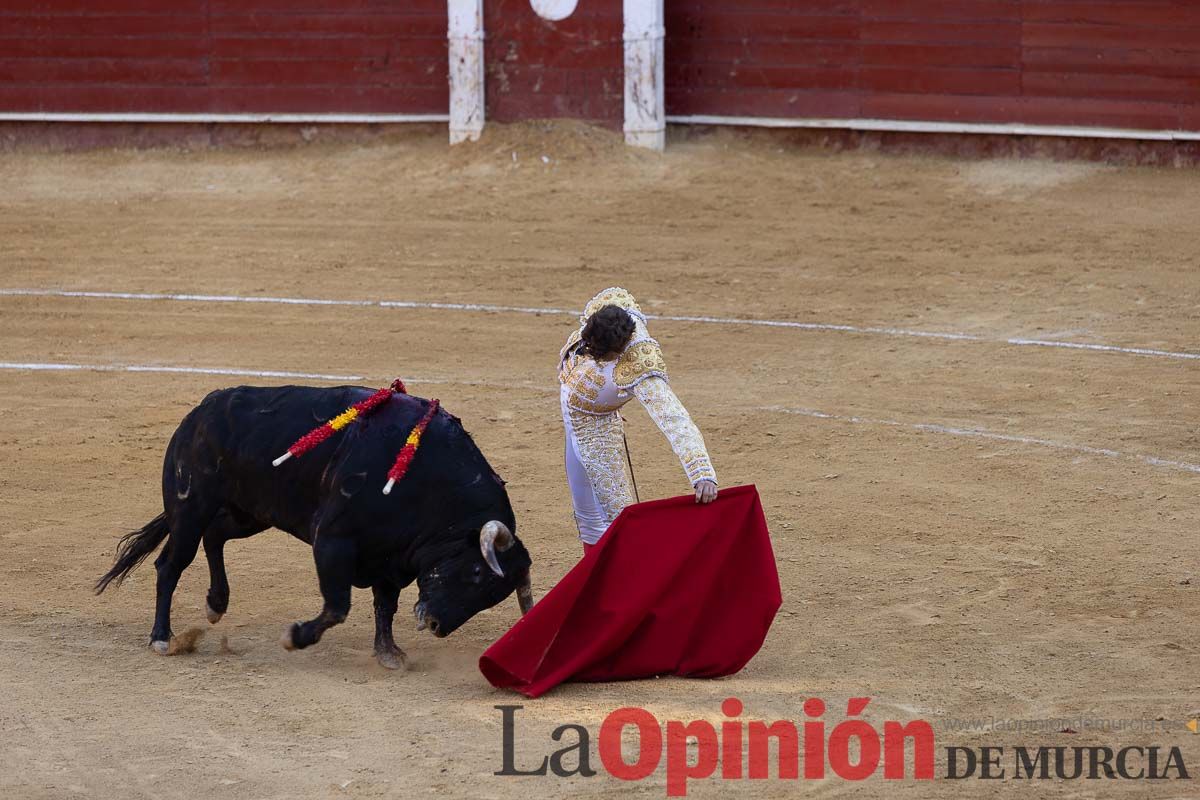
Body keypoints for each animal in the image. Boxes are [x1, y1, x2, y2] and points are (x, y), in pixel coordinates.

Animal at [96, 386, 537, 671]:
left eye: (493, 596)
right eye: (476, 571)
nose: (435, 626)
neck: (431, 486)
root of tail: (199, 413)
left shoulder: (390, 556)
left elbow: (385, 606)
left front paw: (389, 653)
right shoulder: (333, 542)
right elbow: (337, 606)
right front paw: (296, 637)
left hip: (250, 514)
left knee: (216, 535)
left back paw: (216, 604)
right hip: (190, 507)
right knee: (170, 565)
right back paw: (162, 637)